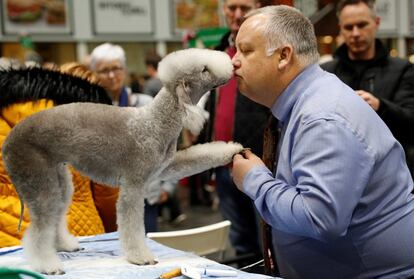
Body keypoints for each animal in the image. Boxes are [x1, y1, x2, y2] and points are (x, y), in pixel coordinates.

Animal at [1, 48, 244, 276]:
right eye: (204, 69)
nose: (232, 66)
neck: (157, 121)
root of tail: (9, 141)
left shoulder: (167, 166)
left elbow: (199, 156)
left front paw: (233, 150)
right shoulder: (133, 184)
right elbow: (132, 224)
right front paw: (141, 257)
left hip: (58, 178)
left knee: (56, 216)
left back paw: (65, 245)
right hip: (36, 175)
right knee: (38, 230)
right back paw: (47, 265)